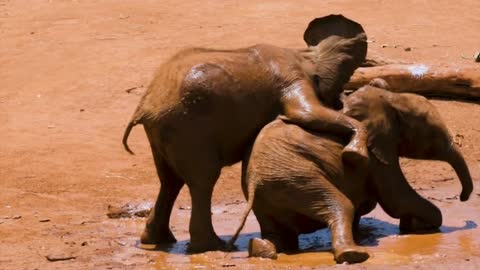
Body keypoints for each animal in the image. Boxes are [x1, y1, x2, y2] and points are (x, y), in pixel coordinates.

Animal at [122, 14, 370, 251]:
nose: (341, 101)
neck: (305, 54)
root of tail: (145, 106)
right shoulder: (292, 76)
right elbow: (306, 113)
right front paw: (356, 153)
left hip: (163, 132)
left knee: (170, 181)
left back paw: (159, 240)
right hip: (188, 129)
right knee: (202, 181)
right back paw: (212, 246)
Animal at [228, 84, 472, 264]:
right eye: (433, 135)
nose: (462, 198)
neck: (391, 99)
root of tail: (254, 181)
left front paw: (412, 225)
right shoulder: (378, 153)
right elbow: (396, 199)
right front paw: (421, 224)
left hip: (270, 197)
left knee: (278, 234)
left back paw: (262, 251)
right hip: (296, 180)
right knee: (341, 205)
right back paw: (354, 255)